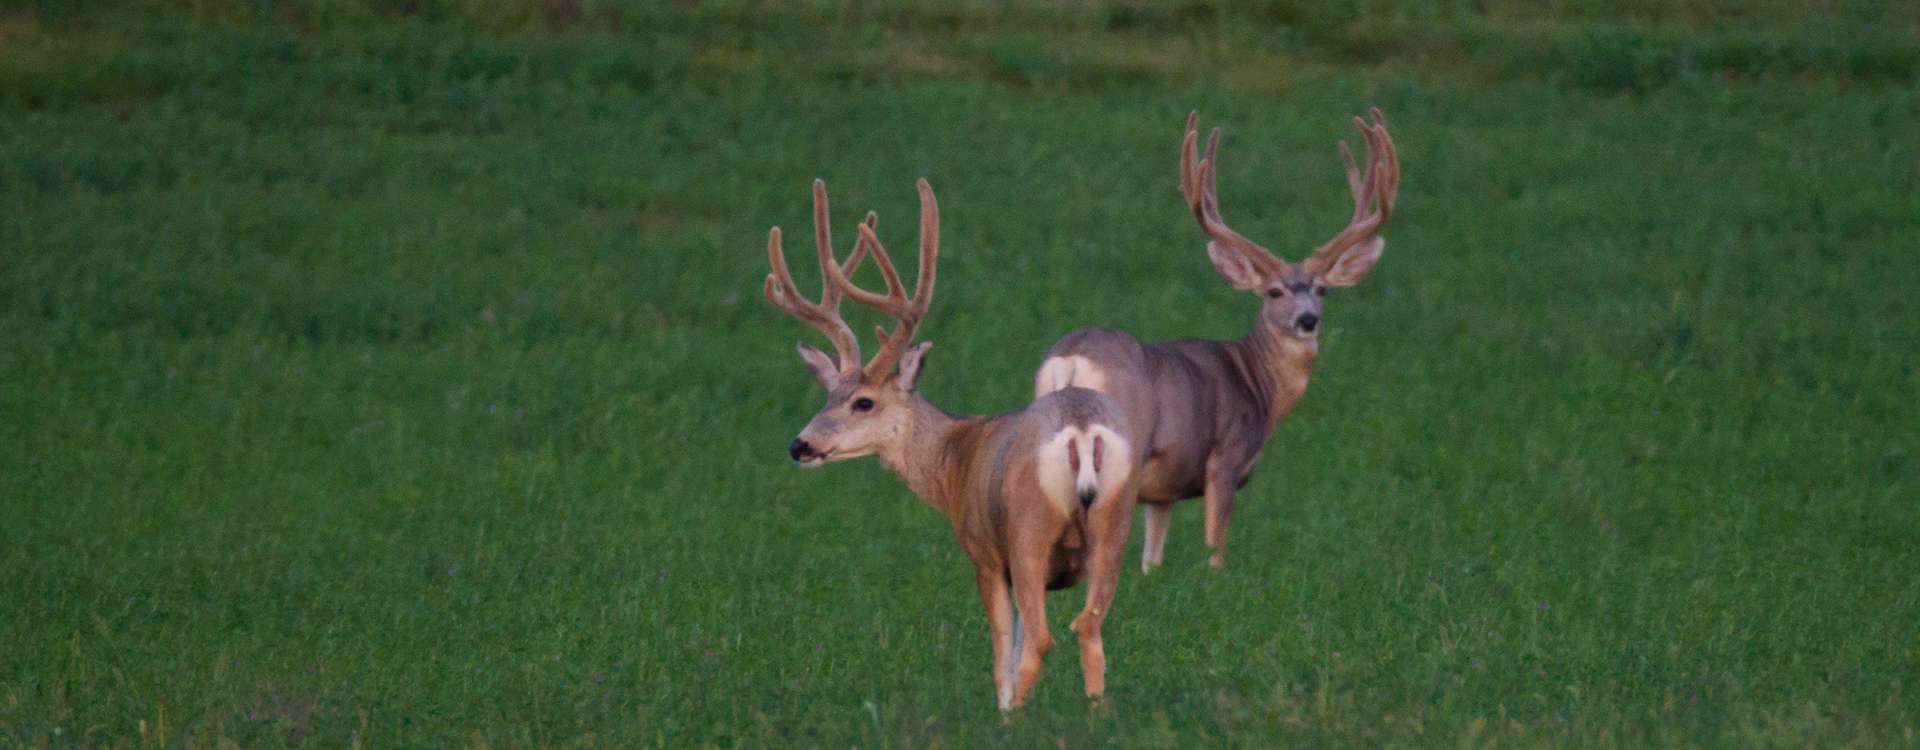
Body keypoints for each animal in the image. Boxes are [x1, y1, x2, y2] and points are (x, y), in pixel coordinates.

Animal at [764, 177, 1142, 710]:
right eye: (828, 395)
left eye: (863, 402)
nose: (800, 445)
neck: (955, 460)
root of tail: (1082, 429)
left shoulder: (986, 554)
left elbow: (1004, 651)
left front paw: (1001, 710)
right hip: (1115, 526)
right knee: (1089, 629)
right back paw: (1096, 715)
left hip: (1029, 532)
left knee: (1042, 641)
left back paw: (1013, 717)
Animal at [1034, 109, 1400, 573]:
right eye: (1274, 292)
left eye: (1322, 289)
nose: (1308, 320)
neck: (1259, 384)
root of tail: (1070, 359)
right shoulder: (1225, 460)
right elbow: (1216, 548)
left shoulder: (1164, 491)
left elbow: (1152, 560)